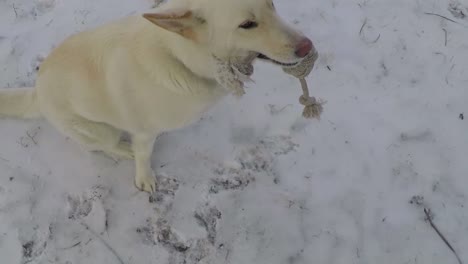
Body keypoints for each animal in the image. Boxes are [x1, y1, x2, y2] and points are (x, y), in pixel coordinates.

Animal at [0, 0, 314, 192]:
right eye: (247, 25)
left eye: (271, 4)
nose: (307, 47)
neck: (181, 56)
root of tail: (36, 91)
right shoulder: (143, 132)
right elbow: (144, 155)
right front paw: (145, 178)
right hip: (100, 131)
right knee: (102, 146)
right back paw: (122, 149)